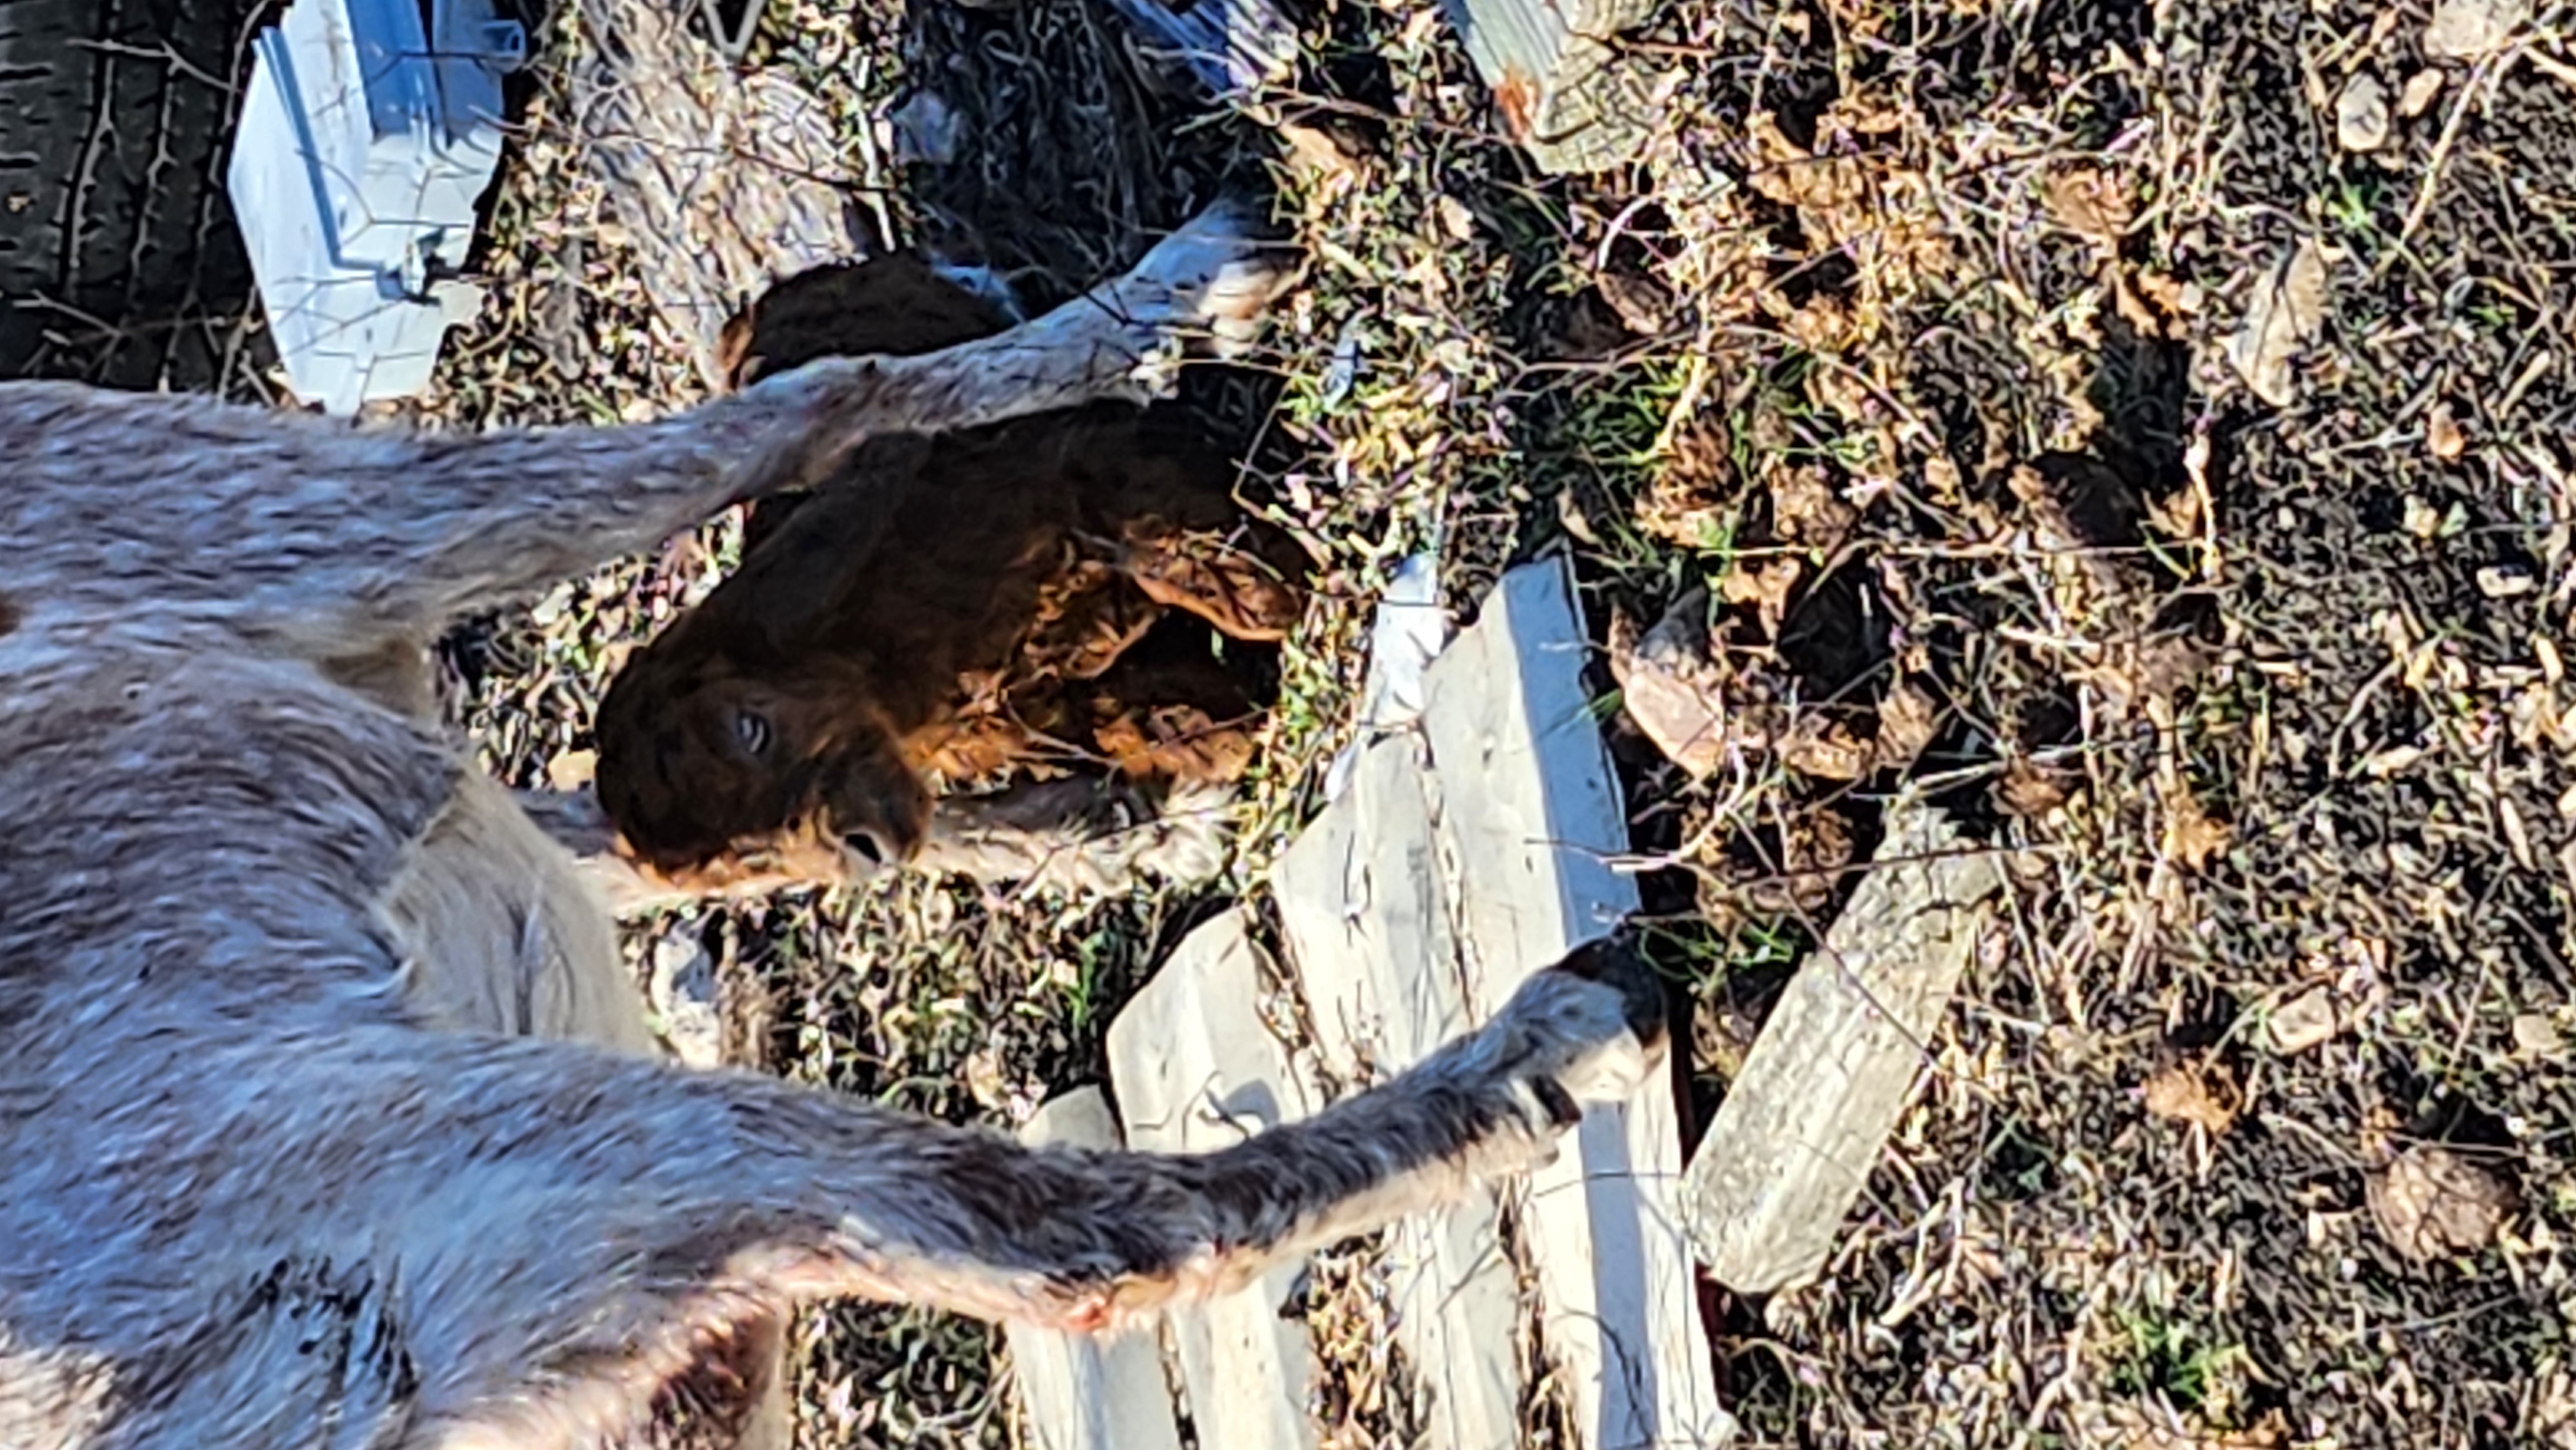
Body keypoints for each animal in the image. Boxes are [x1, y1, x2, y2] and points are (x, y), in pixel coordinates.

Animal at [591, 253, 1310, 901]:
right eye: (748, 857)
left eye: (752, 730)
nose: (867, 850)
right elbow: (1120, 714)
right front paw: (1199, 731)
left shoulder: (1062, 463)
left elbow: (1165, 531)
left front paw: (1273, 594)